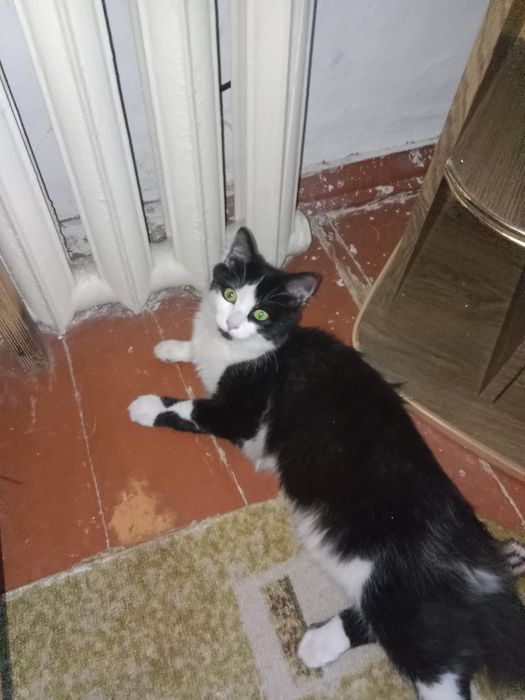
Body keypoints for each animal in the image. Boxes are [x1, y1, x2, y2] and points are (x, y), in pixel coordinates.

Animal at [129, 228, 525, 700]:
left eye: (260, 313)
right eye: (230, 294)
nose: (232, 323)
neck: (255, 351)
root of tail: (482, 560)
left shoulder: (240, 415)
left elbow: (189, 408)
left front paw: (146, 405)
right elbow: (196, 349)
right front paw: (173, 346)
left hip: (402, 588)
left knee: (442, 671)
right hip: (390, 591)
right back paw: (318, 642)